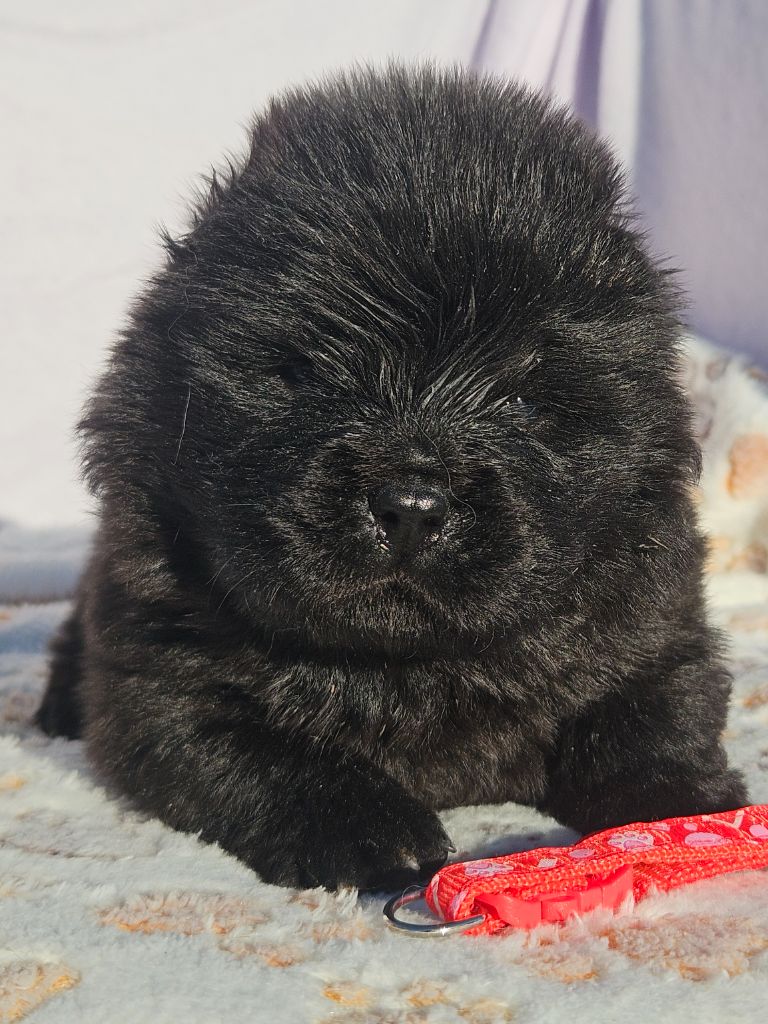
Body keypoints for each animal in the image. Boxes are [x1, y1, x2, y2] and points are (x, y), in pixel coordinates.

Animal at [36, 64, 747, 890]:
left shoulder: (654, 618)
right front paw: (371, 829)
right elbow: (255, 749)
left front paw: (688, 807)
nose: (410, 507)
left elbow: (652, 708)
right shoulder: (159, 672)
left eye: (524, 399)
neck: (409, 663)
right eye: (306, 375)